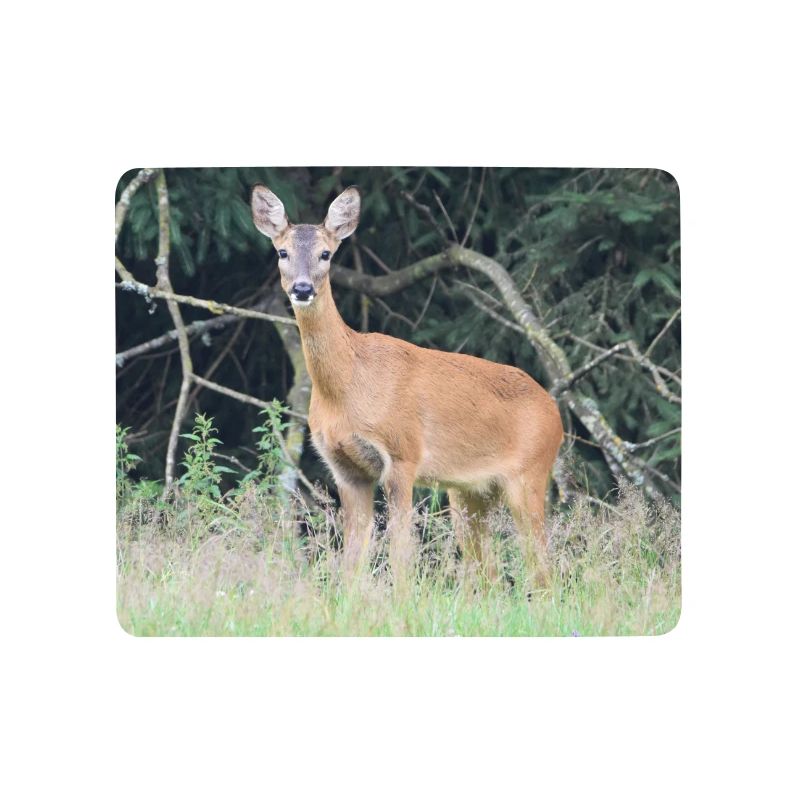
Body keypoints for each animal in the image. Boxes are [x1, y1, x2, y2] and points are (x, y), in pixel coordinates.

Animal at [251, 184, 563, 586]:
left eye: (325, 253)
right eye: (282, 252)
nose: (302, 288)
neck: (348, 390)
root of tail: (555, 412)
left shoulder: (402, 454)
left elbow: (402, 553)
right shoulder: (345, 469)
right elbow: (353, 558)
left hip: (529, 474)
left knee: (541, 567)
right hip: (469, 492)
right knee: (488, 571)